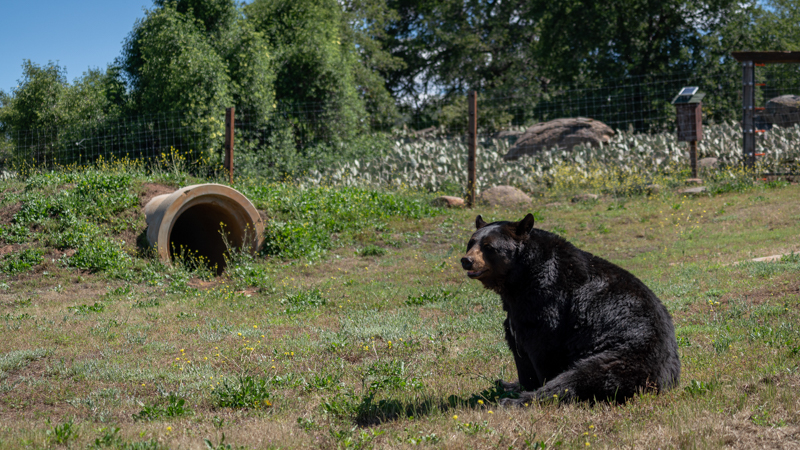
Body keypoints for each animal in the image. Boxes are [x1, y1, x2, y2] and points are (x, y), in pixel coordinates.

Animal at [462, 213, 680, 406]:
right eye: (470, 243)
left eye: (489, 247)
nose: (466, 260)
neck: (521, 278)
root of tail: (665, 383)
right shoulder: (515, 315)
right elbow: (520, 353)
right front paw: (515, 383)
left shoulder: (548, 304)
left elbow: (543, 350)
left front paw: (526, 389)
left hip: (620, 358)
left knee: (575, 379)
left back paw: (514, 401)